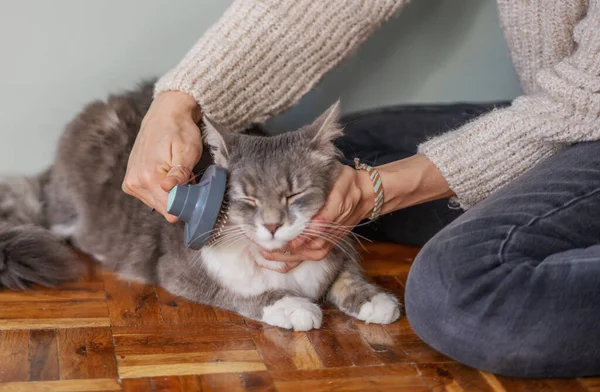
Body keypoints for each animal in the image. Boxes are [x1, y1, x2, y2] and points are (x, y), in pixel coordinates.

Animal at [1, 82, 404, 330]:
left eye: (293, 194)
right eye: (247, 199)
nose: (273, 225)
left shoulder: (335, 250)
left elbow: (348, 275)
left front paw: (375, 301)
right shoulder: (180, 273)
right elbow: (243, 294)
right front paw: (295, 306)